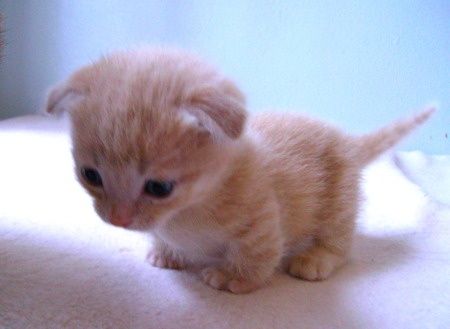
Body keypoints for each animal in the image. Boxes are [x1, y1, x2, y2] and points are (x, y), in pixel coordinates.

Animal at [44, 48, 432, 292]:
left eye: (158, 188)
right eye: (91, 175)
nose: (118, 219)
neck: (185, 212)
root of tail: (346, 139)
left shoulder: (262, 217)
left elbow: (258, 251)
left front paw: (237, 279)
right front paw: (166, 252)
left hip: (339, 196)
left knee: (339, 237)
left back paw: (316, 258)